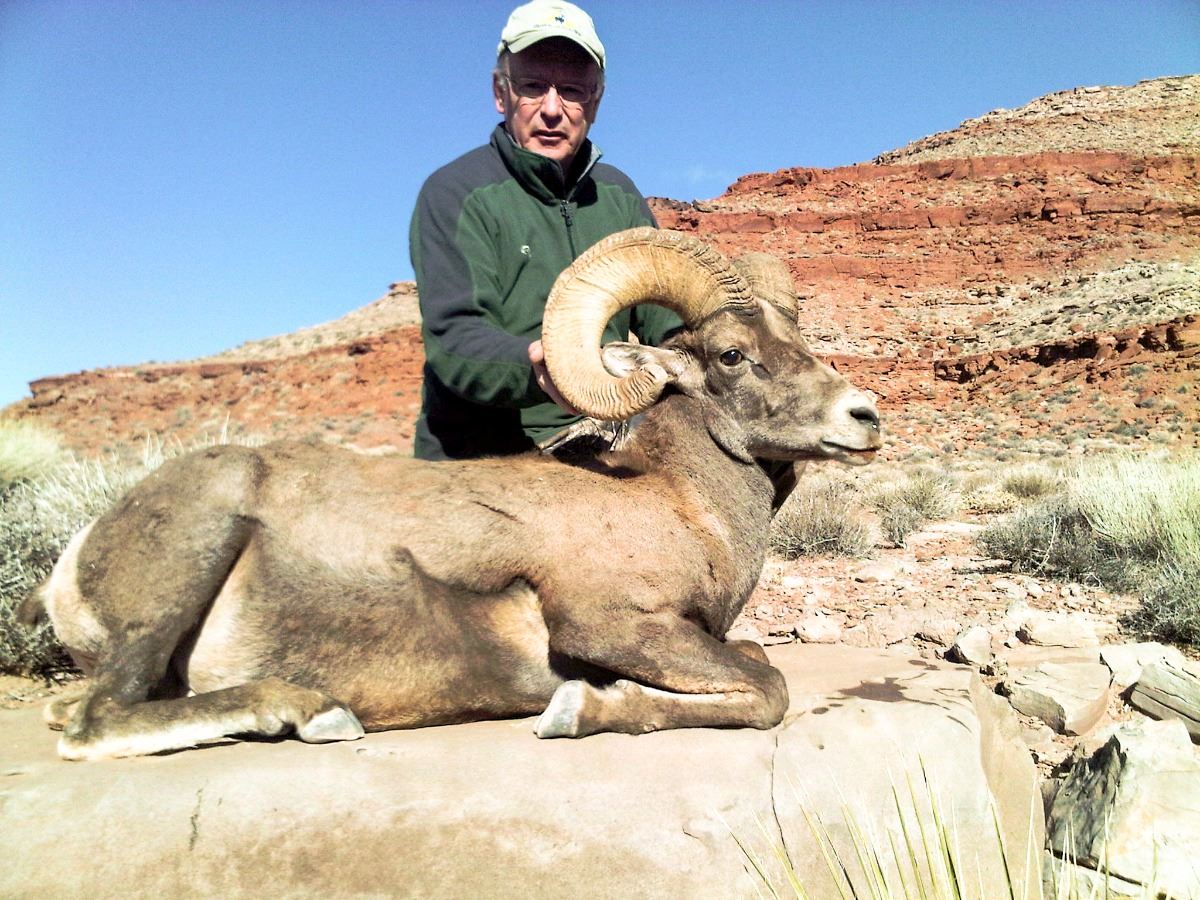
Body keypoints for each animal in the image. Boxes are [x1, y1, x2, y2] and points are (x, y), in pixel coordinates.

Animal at [24, 227, 882, 760]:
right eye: (733, 355)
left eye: (803, 343)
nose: (864, 418)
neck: (675, 501)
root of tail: (70, 569)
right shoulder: (608, 625)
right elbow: (767, 688)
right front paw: (575, 710)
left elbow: (753, 662)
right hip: (198, 544)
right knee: (95, 722)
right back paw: (311, 712)